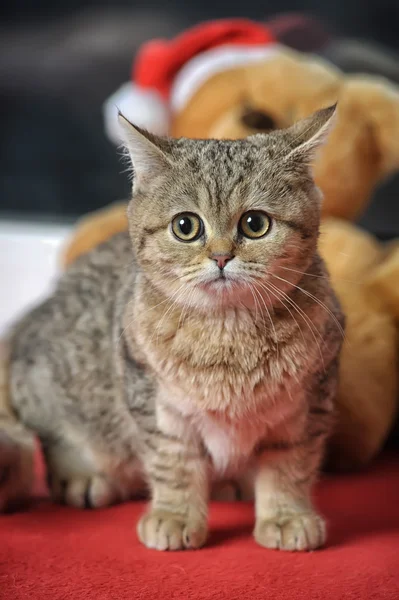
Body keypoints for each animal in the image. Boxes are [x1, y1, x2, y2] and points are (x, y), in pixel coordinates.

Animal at [0, 105, 344, 552]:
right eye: (186, 226)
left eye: (255, 223)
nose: (221, 257)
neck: (228, 335)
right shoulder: (155, 401)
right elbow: (173, 464)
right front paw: (175, 514)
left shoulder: (308, 403)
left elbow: (290, 466)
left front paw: (286, 515)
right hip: (52, 384)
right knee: (54, 435)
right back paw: (81, 475)